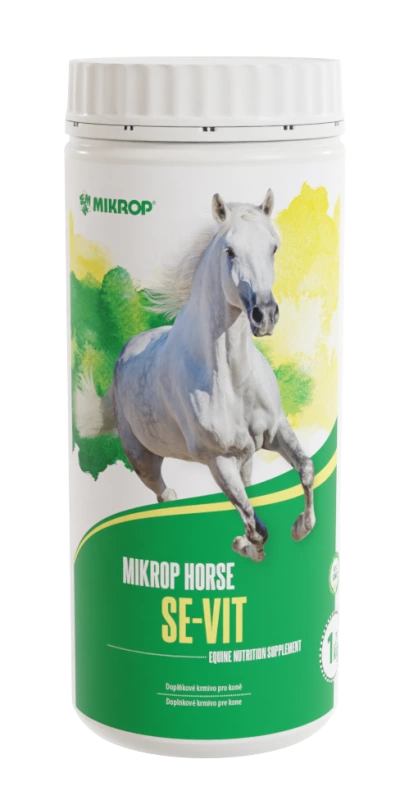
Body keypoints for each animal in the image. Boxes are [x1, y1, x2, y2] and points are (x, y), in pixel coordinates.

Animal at [75, 191, 316, 562]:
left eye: (273, 247)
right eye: (229, 251)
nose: (264, 315)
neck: (231, 380)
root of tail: (124, 354)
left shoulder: (275, 431)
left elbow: (306, 469)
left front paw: (300, 528)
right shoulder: (218, 460)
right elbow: (256, 525)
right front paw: (245, 546)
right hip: (143, 461)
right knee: (164, 494)